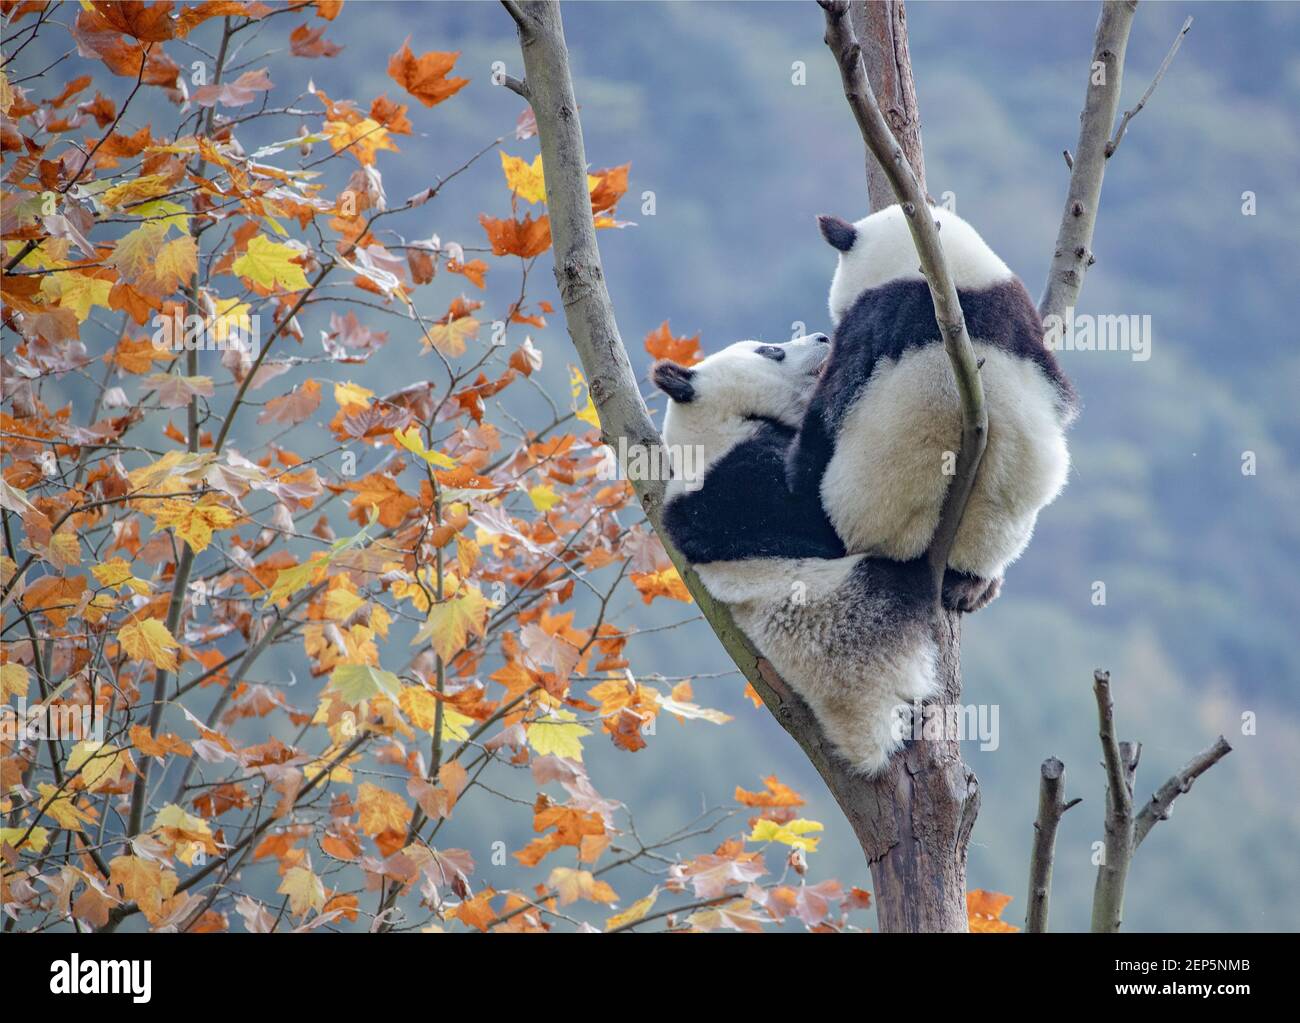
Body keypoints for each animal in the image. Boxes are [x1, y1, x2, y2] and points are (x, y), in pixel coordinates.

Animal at [653, 335, 943, 775]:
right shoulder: (739, 482)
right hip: (856, 620)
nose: (823, 338)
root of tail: (864, 743)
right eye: (769, 349)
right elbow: (822, 517)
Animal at [787, 204, 1077, 595]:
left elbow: (828, 411)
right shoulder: (1020, 315)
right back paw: (973, 586)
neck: (947, 276)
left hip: (854, 508)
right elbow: (1065, 400)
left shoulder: (875, 316)